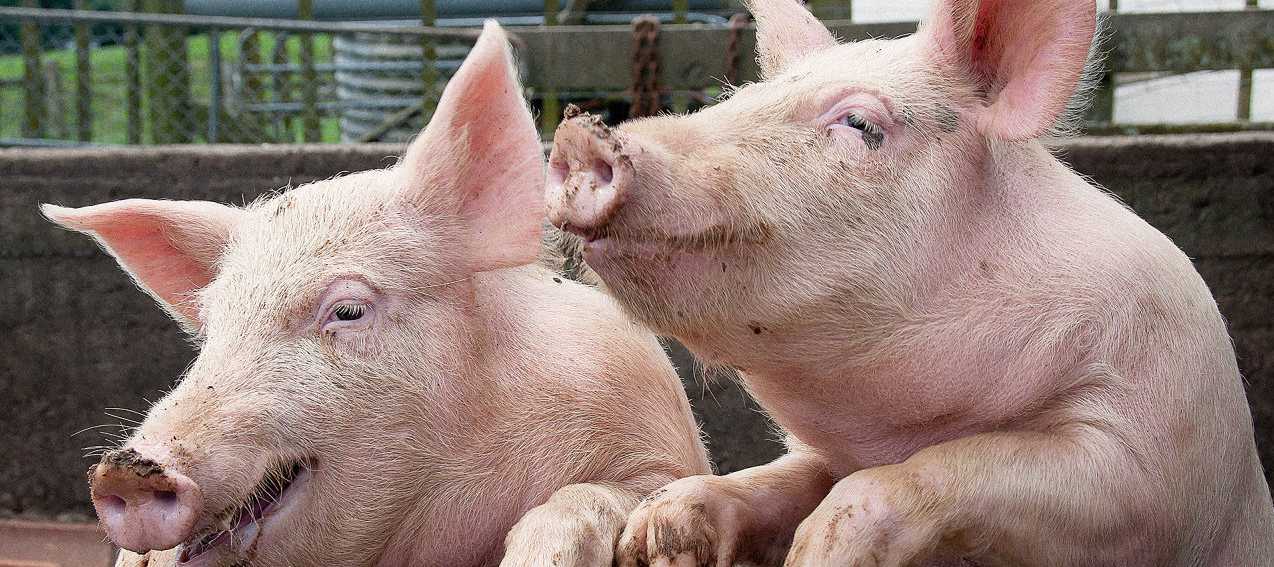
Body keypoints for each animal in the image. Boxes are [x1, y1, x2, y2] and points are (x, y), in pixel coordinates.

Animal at [544, 0, 1274, 565]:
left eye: (860, 123)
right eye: (741, 97)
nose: (582, 137)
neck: (911, 424)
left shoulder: (1150, 469)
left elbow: (946, 469)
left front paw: (816, 552)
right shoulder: (822, 453)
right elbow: (781, 478)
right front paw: (653, 533)